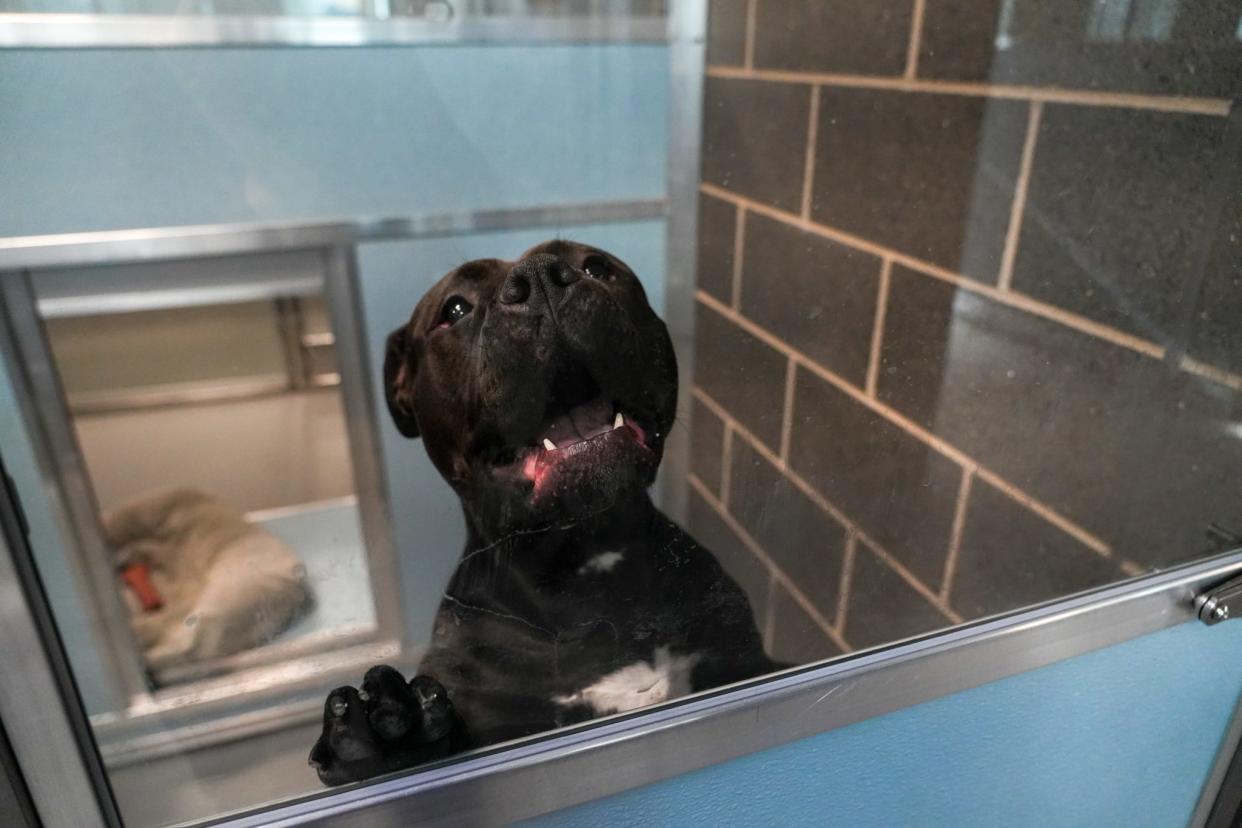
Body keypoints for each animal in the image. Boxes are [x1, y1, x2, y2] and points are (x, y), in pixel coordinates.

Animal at [310, 239, 775, 784]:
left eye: (597, 266)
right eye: (455, 309)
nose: (541, 278)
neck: (588, 564)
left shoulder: (738, 655)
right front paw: (387, 735)